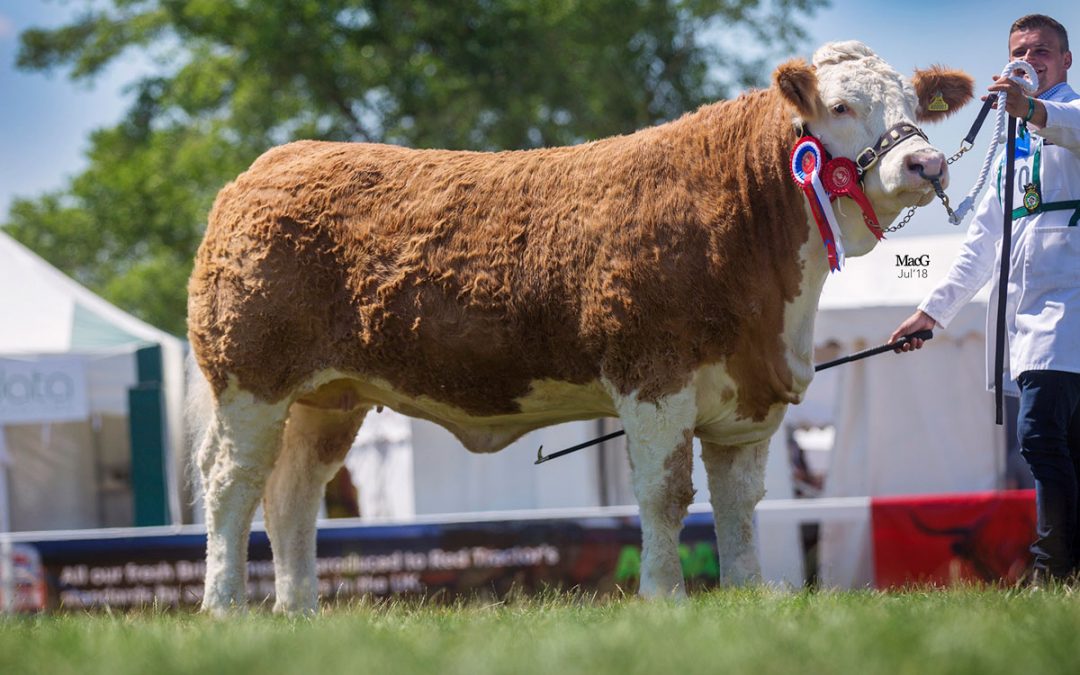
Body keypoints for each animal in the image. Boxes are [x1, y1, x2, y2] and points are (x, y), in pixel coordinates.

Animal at [190, 40, 976, 609]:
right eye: (840, 105)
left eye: (915, 104)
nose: (927, 161)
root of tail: (269, 165)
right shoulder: (653, 376)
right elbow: (665, 494)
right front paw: (664, 598)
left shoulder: (749, 400)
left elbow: (740, 504)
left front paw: (750, 594)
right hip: (250, 379)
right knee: (231, 483)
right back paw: (225, 607)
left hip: (327, 399)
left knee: (293, 495)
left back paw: (299, 612)